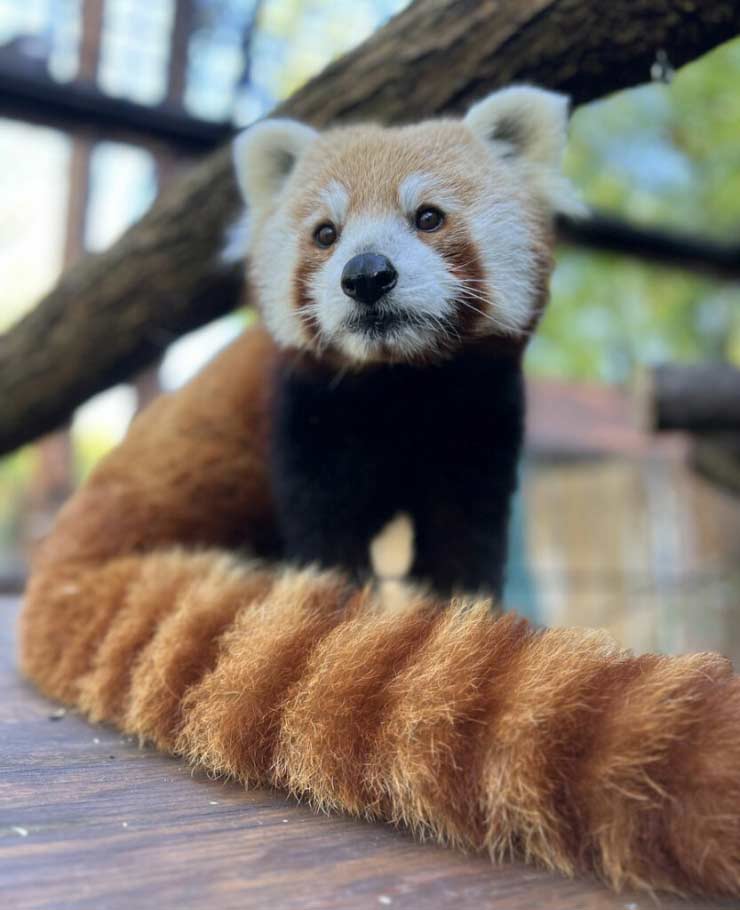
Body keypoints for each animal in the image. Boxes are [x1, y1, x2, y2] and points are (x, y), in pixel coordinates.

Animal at [15, 89, 740, 900]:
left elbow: (466, 529)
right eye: (325, 234)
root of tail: (64, 553)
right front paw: (344, 620)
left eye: (428, 216)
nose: (366, 274)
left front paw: (467, 619)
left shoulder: (477, 420)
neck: (401, 386)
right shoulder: (307, 418)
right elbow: (325, 530)